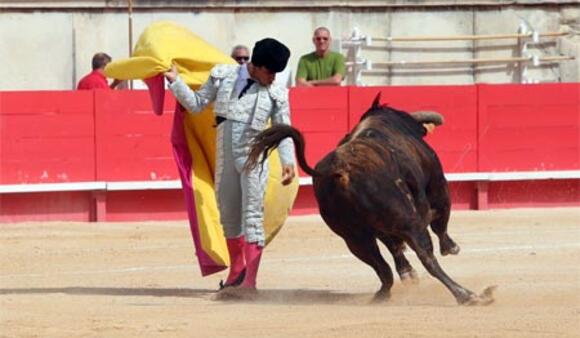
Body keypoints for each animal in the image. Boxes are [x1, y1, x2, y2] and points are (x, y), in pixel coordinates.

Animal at [247, 93, 496, 304]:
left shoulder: (378, 227)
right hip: (406, 221)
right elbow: (440, 221)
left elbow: (394, 247)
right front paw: (450, 247)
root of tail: (340, 171)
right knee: (426, 255)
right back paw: (468, 295)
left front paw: (408, 273)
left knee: (382, 268)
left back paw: (384, 294)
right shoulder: (438, 186)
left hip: (353, 236)